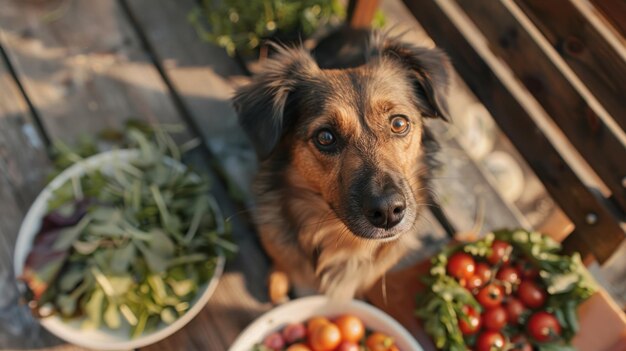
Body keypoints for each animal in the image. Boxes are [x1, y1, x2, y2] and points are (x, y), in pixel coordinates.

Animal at [234, 31, 448, 302]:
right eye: (325, 137)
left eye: (399, 123)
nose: (389, 211)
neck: (343, 240)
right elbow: (281, 259)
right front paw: (279, 279)